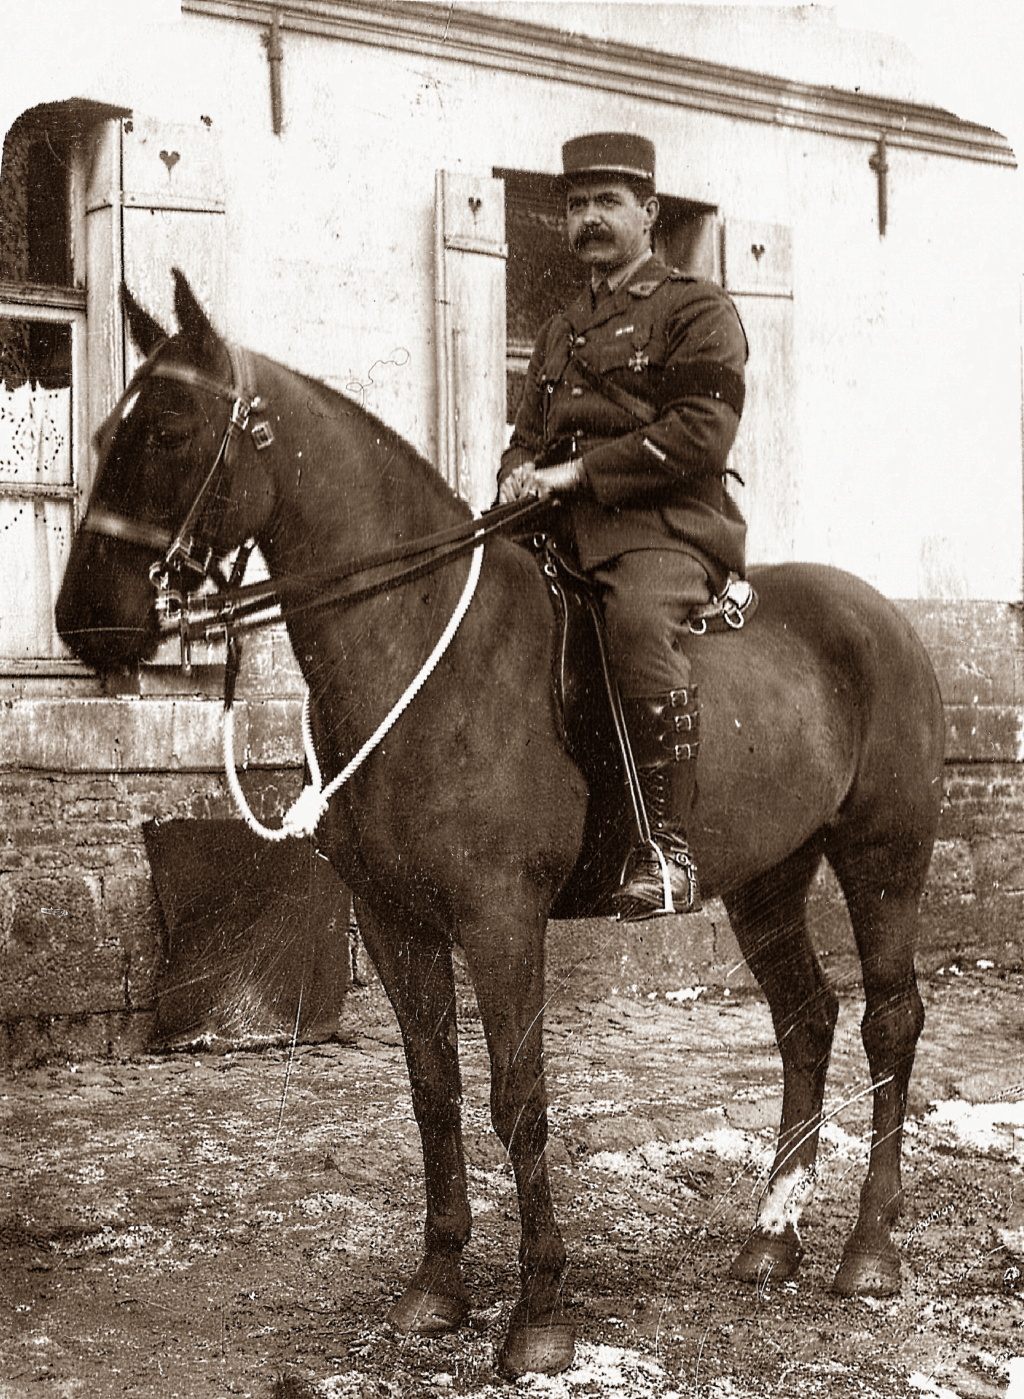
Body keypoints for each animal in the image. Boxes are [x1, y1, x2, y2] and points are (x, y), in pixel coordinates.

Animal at [55, 272, 945, 1376]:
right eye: (104, 433)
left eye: (173, 426)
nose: (85, 620)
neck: (418, 647)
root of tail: (883, 616)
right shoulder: (394, 919)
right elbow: (433, 1093)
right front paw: (437, 1286)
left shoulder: (501, 920)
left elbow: (517, 1099)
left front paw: (541, 1314)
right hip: (765, 876)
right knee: (804, 1019)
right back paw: (770, 1234)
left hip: (883, 856)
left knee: (887, 1020)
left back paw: (869, 1246)